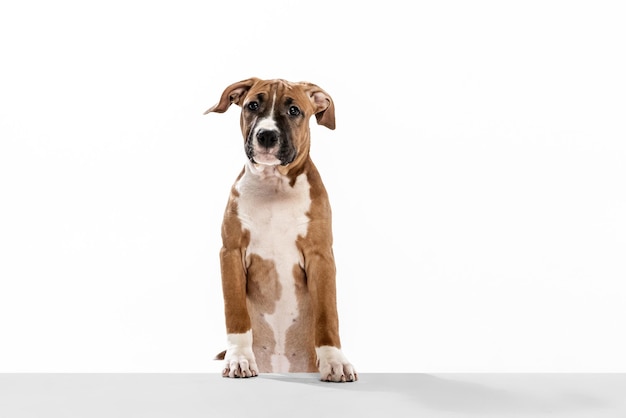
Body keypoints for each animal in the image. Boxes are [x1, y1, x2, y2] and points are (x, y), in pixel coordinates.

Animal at [205, 76, 356, 382]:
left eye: (294, 110)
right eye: (252, 105)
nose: (266, 135)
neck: (274, 185)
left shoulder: (321, 255)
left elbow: (328, 314)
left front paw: (335, 362)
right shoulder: (231, 252)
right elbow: (236, 312)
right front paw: (239, 359)